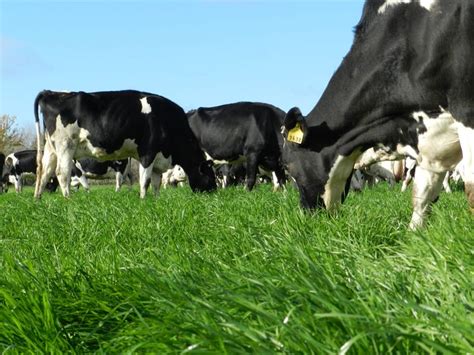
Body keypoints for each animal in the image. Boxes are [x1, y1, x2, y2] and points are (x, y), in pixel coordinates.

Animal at [33, 90, 217, 199]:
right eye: (211, 176)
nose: (215, 193)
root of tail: (52, 93)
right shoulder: (148, 152)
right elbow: (145, 181)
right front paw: (143, 201)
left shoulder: (158, 159)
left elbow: (156, 183)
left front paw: (156, 200)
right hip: (66, 145)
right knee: (61, 173)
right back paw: (68, 200)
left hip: (51, 148)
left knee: (44, 173)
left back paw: (38, 199)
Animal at [284, 0, 472, 231]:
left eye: (290, 166)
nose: (307, 216)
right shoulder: (430, 138)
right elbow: (422, 195)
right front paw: (414, 235)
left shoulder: (466, 111)